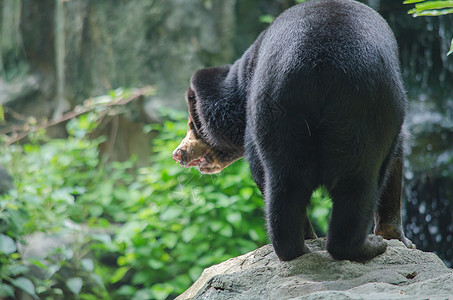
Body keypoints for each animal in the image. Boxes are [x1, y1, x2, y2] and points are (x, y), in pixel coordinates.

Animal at [171, 0, 412, 262]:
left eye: (192, 125)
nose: (178, 153)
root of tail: (318, 63)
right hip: (353, 109)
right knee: (351, 182)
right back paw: (354, 247)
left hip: (296, 109)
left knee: (287, 184)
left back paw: (308, 248)